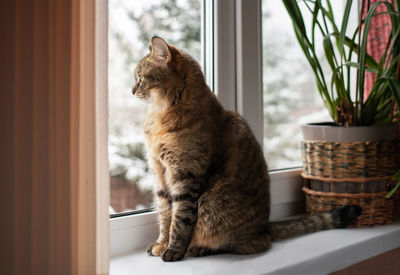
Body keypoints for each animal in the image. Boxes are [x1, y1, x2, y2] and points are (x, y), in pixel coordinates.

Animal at [131, 36, 362, 264]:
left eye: (140, 77)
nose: (132, 91)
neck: (160, 115)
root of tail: (265, 226)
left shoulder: (186, 176)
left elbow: (180, 218)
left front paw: (173, 249)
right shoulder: (160, 175)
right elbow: (164, 215)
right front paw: (161, 244)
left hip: (213, 205)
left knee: (254, 243)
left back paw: (201, 248)